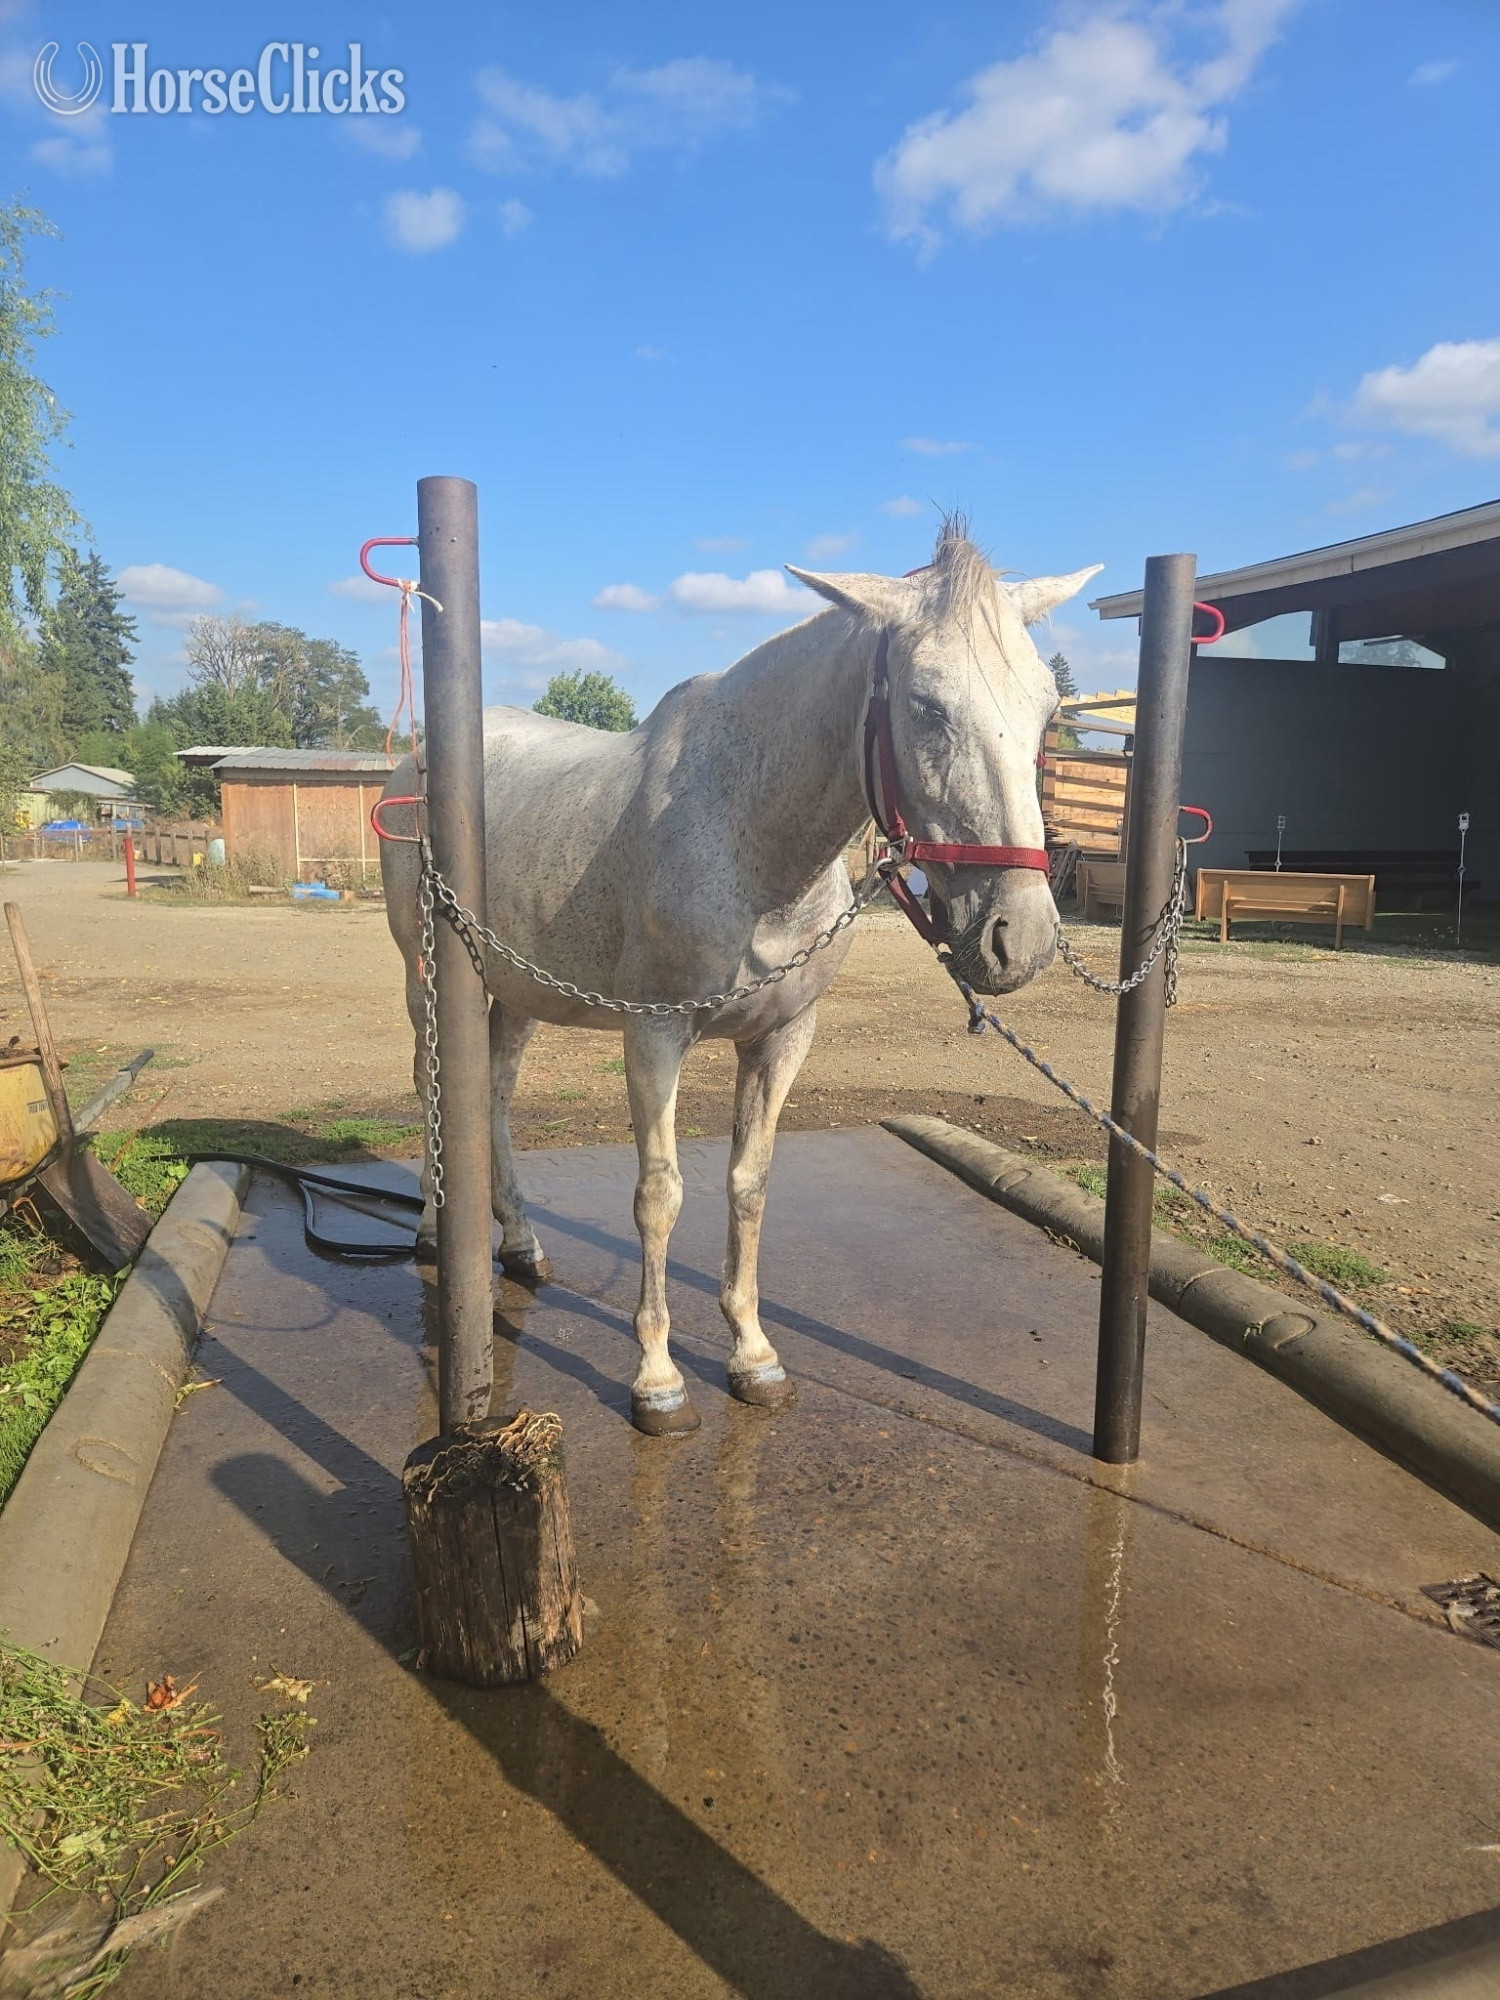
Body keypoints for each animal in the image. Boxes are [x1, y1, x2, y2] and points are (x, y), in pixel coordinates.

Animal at [381, 520, 1100, 1436]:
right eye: (926, 706)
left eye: (1046, 710)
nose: (1023, 937)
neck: (747, 833)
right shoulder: (653, 1033)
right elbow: (660, 1194)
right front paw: (657, 1379)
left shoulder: (782, 1038)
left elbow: (748, 1186)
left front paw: (753, 1355)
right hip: (429, 977)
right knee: (432, 1083)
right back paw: (434, 1228)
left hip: (515, 987)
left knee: (495, 1094)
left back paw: (519, 1242)